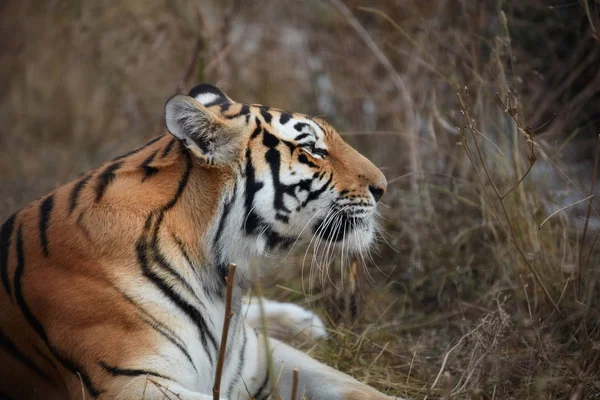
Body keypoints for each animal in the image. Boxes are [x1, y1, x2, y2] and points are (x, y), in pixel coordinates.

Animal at [1, 83, 404, 398]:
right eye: (312, 151)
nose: (384, 187)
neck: (218, 276)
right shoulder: (130, 380)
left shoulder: (256, 354)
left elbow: (354, 386)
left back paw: (305, 322)